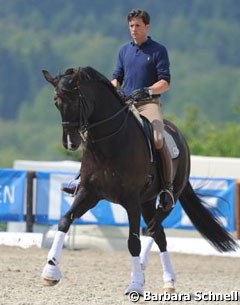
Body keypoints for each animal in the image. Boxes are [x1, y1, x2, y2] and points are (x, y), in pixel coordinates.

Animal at [40, 66, 236, 294]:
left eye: (76, 101)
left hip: (167, 199)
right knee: (159, 233)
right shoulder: (89, 193)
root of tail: (179, 137)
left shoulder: (131, 200)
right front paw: (50, 271)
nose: (70, 143)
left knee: (152, 229)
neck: (109, 144)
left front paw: (135, 285)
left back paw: (144, 272)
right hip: (147, 201)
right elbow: (64, 221)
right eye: (57, 102)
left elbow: (133, 242)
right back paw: (167, 281)